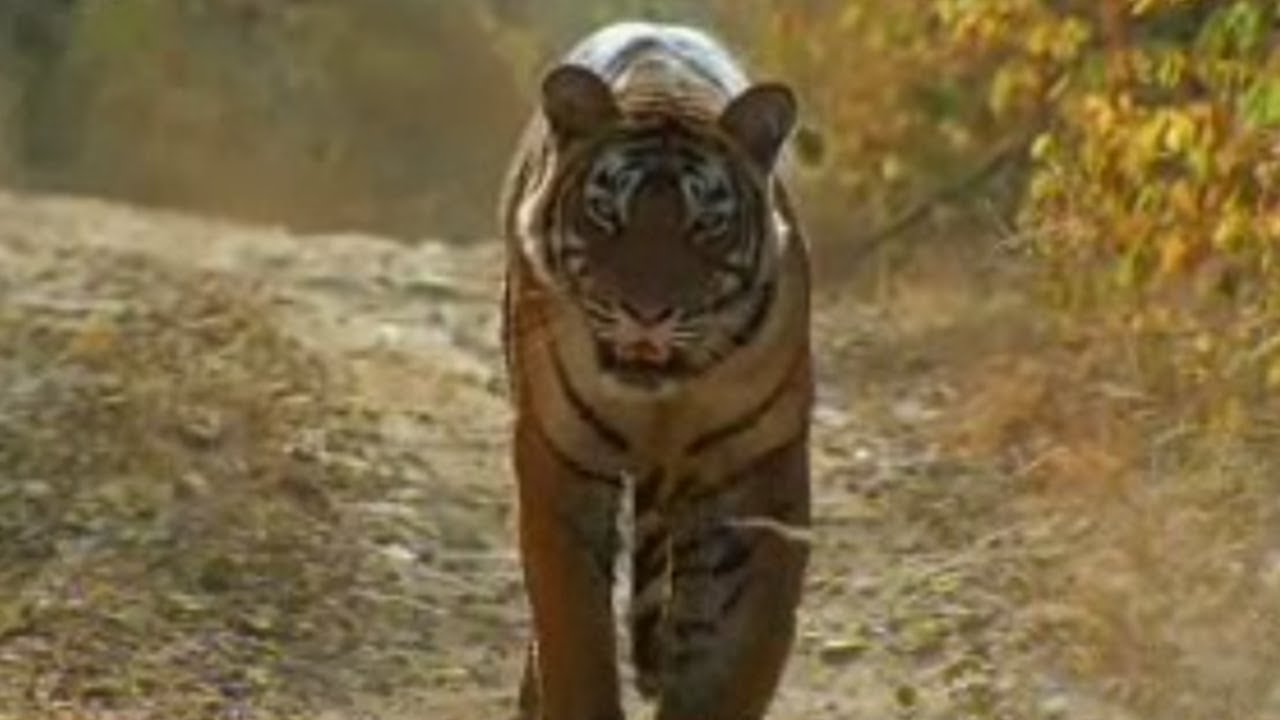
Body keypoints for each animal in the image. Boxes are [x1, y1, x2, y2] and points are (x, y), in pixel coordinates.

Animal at [499, 21, 813, 720]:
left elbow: (729, 656)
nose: (646, 313)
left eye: (707, 225)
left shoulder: (752, 477)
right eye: (607, 215)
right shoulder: (562, 459)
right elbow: (574, 634)